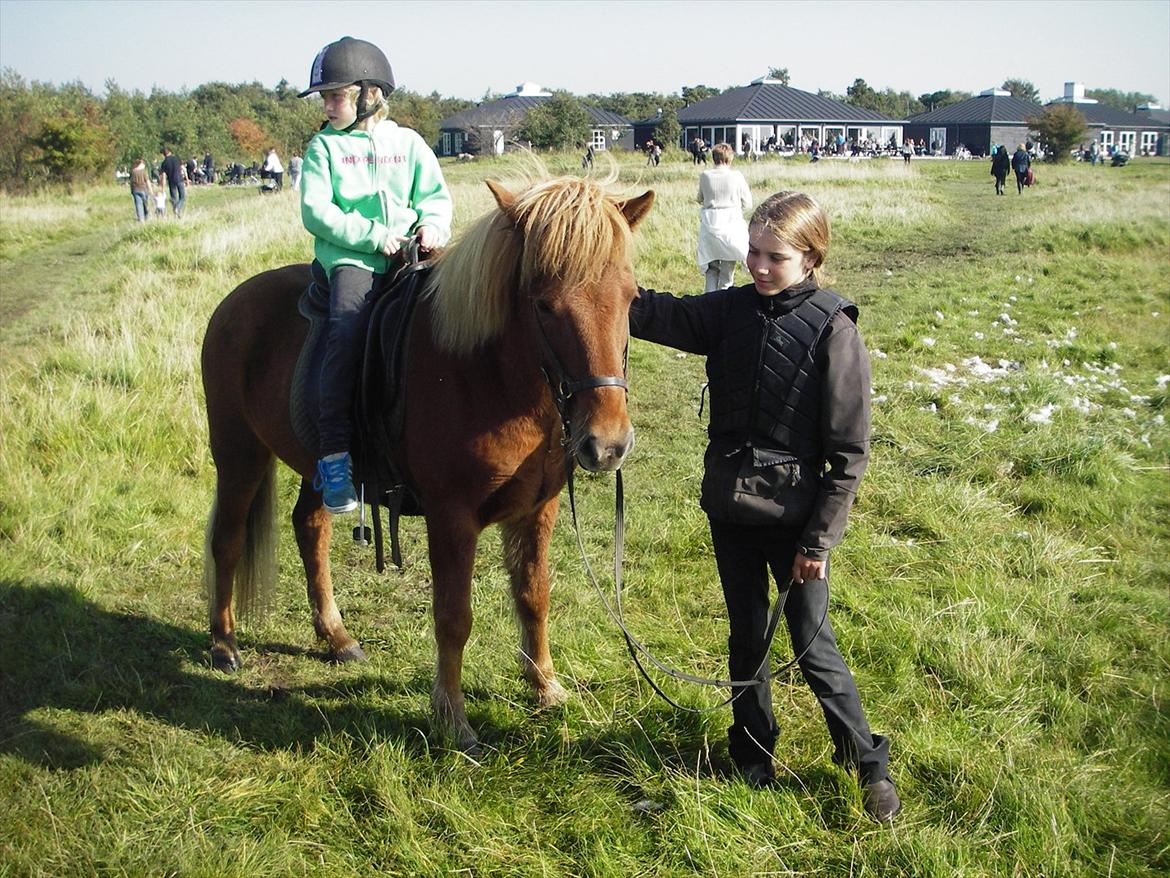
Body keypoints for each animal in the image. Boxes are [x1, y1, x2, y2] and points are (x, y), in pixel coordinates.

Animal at [204, 175, 655, 753]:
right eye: (545, 306)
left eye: (631, 298)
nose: (608, 443)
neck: (487, 376)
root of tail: (233, 302)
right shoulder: (451, 518)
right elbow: (454, 617)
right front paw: (452, 718)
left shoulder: (539, 508)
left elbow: (534, 596)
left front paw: (544, 687)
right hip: (237, 453)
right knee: (228, 541)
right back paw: (224, 644)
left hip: (316, 467)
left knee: (310, 528)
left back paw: (336, 636)